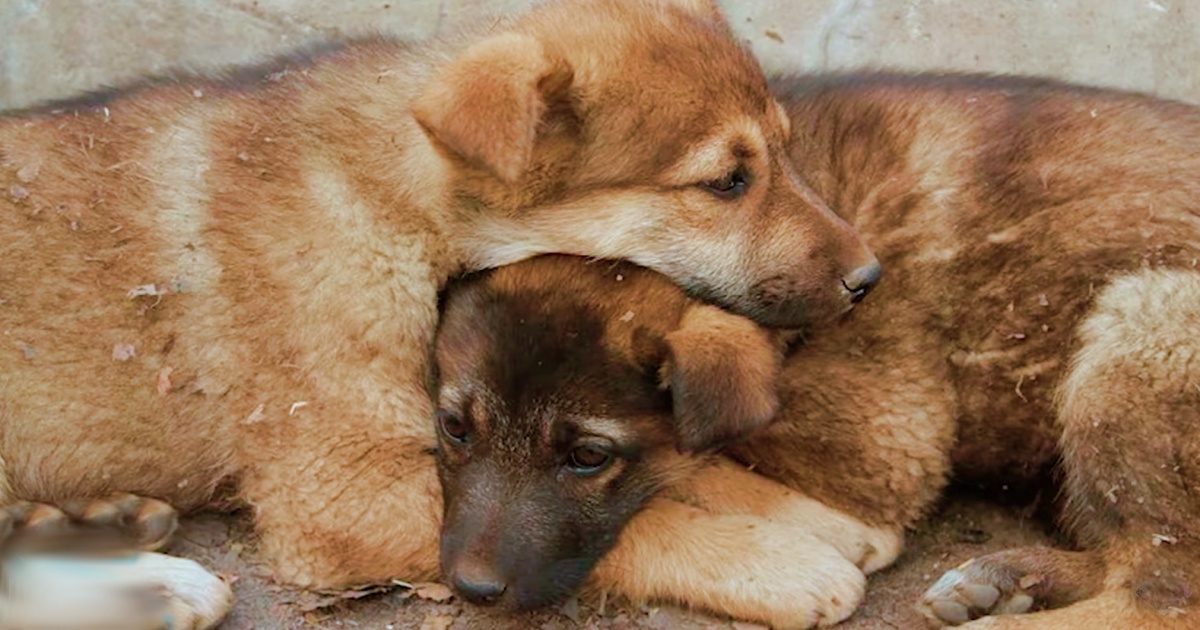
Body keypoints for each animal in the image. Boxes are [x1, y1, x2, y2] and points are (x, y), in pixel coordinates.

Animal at [0, 0, 883, 624]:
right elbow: (625, 523)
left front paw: (811, 516)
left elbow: (690, 470)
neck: (398, 204)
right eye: (727, 182)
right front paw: (779, 563)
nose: (870, 277)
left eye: (786, 152)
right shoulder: (345, 492)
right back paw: (158, 585)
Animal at [432, 73, 1200, 628]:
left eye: (589, 457)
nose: (470, 588)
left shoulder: (887, 437)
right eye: (454, 428)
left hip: (1141, 322)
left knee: (1161, 595)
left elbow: (706, 443)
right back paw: (1008, 581)